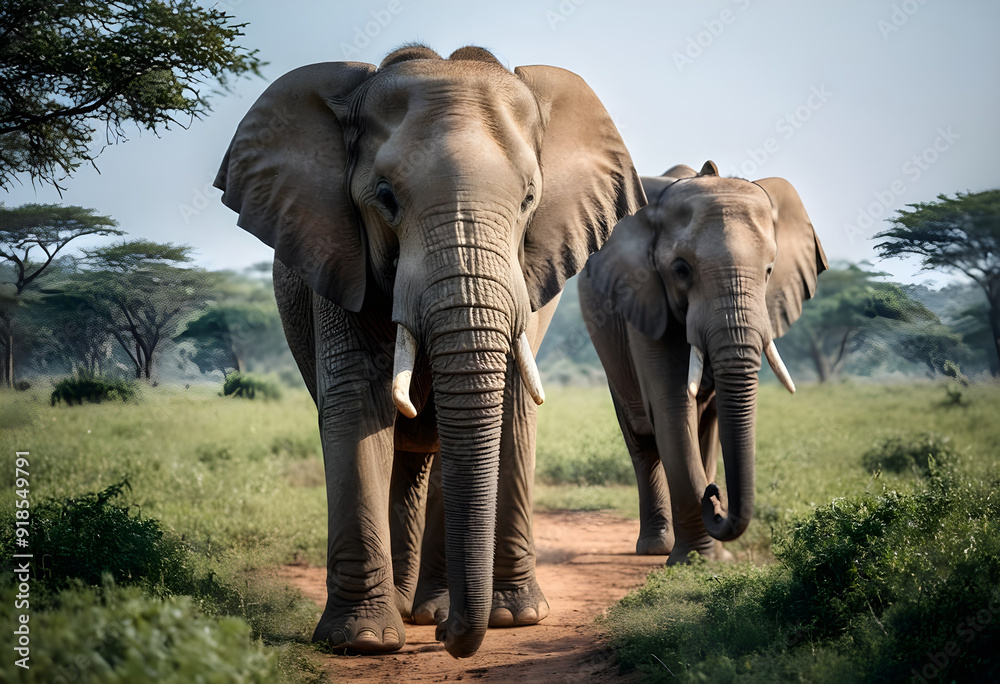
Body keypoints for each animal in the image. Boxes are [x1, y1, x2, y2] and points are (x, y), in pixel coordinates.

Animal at [214, 45, 644, 658]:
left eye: (528, 199)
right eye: (385, 198)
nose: (451, 639)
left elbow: (510, 408)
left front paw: (514, 619)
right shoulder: (336, 253)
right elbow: (357, 405)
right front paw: (362, 642)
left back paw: (433, 608)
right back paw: (405, 612)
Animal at [578, 161, 826, 565]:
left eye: (769, 271)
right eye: (681, 270)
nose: (715, 495)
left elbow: (707, 422)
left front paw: (715, 559)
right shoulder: (644, 297)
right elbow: (671, 407)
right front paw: (695, 560)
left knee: (703, 426)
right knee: (643, 439)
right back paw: (655, 548)